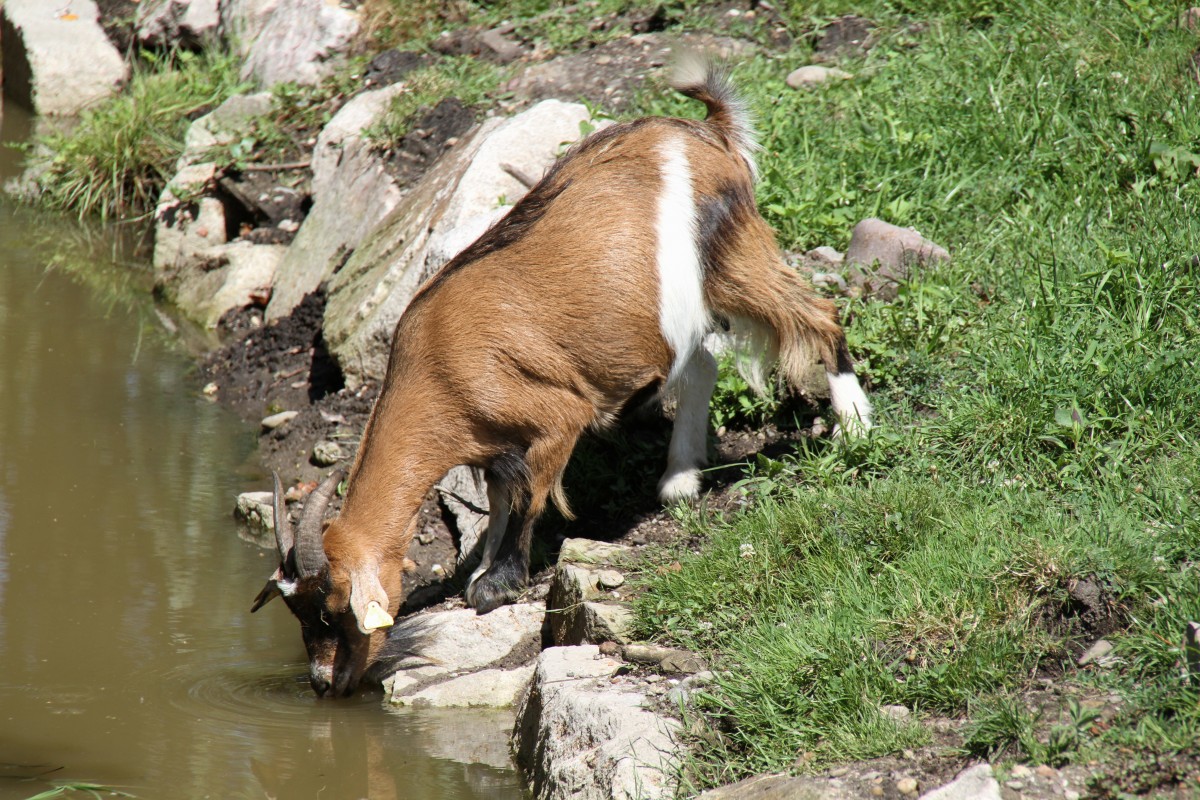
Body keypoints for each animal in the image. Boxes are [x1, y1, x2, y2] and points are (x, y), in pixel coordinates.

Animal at [253, 56, 873, 695]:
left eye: (330, 610)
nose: (324, 683)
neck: (438, 365)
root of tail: (706, 132)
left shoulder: (556, 417)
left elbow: (530, 496)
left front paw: (495, 586)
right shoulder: (492, 446)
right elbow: (501, 498)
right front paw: (480, 566)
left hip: (730, 251)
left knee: (818, 313)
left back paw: (854, 426)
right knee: (701, 360)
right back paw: (679, 479)